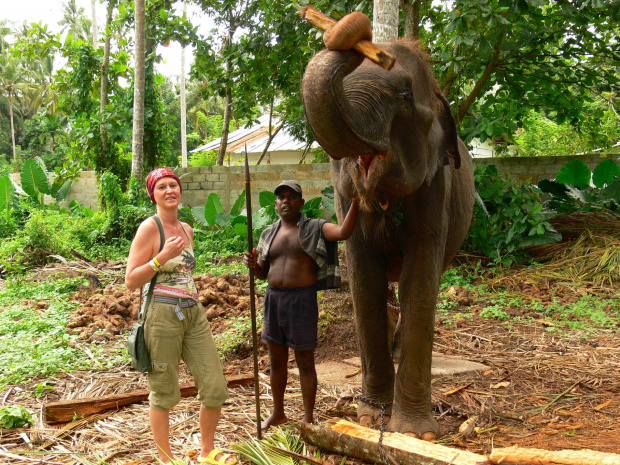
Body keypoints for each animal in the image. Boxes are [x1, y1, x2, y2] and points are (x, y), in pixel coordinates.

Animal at [302, 12, 478, 436]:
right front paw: (369, 418)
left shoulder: (437, 186)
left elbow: (421, 279)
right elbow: (364, 278)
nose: (355, 31)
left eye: (403, 95)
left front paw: (414, 433)